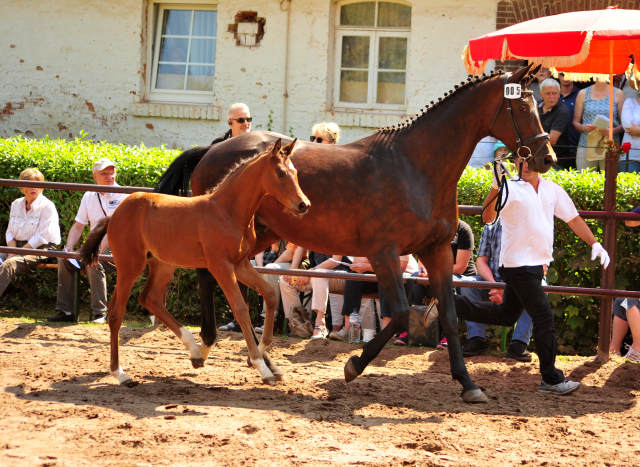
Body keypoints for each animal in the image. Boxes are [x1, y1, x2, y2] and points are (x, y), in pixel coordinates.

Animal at [79, 140, 308, 388]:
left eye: (296, 173)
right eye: (280, 173)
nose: (303, 205)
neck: (227, 211)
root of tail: (114, 215)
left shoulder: (240, 264)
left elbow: (270, 294)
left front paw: (261, 350)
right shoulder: (221, 266)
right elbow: (240, 309)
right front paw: (261, 366)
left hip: (163, 264)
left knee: (150, 298)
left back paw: (195, 353)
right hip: (130, 265)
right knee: (116, 312)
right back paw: (120, 373)